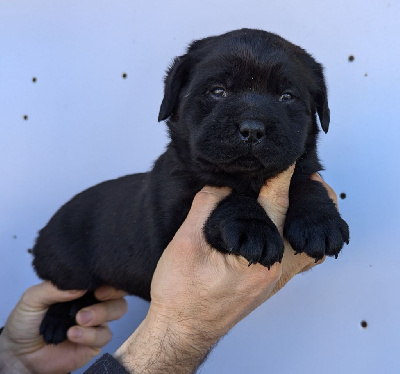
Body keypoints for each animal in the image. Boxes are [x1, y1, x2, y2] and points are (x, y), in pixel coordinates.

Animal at [32, 28, 348, 344]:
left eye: (287, 97)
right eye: (218, 91)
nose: (252, 129)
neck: (248, 179)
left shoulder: (299, 167)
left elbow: (305, 181)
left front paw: (320, 221)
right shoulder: (176, 213)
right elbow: (225, 196)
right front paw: (253, 227)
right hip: (67, 269)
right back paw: (56, 322)